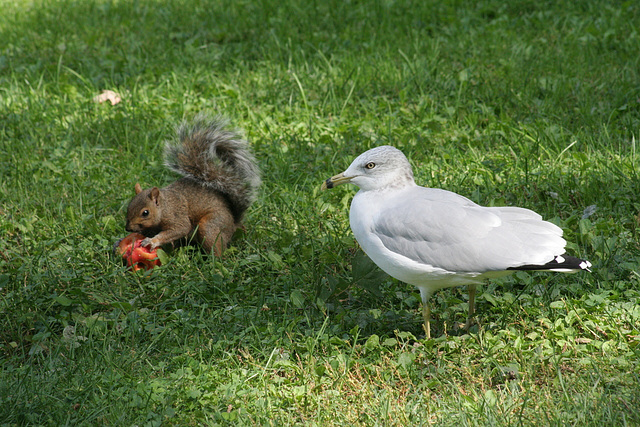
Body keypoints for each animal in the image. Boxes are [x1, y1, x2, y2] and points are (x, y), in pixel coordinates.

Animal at [125, 115, 260, 256]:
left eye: (145, 213)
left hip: (210, 226)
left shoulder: (176, 215)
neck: (165, 206)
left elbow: (181, 228)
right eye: (129, 206)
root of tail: (233, 223)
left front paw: (152, 241)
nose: (128, 228)